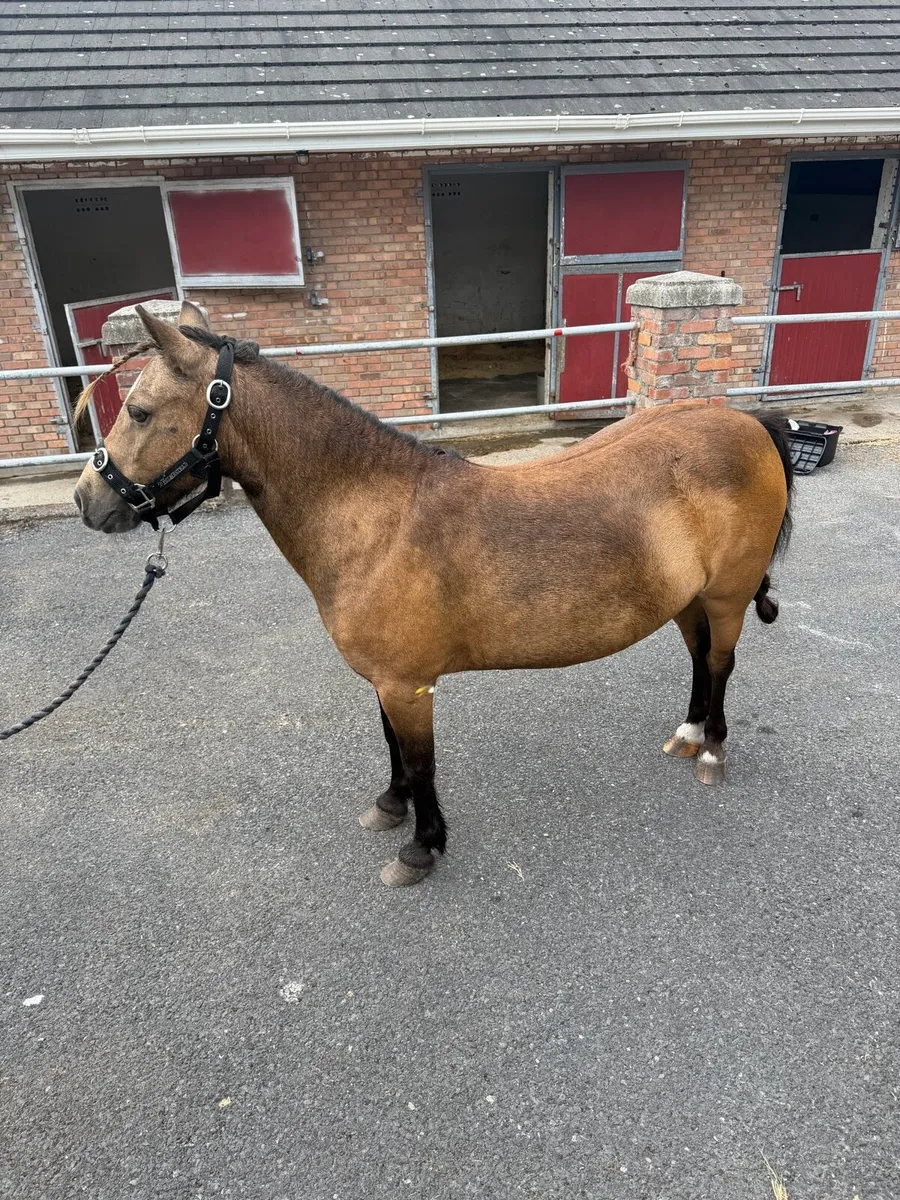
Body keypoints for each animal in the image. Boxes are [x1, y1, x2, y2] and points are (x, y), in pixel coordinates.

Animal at [74, 302, 793, 888]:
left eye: (139, 412)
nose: (87, 501)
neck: (378, 517)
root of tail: (750, 424)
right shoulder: (386, 680)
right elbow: (393, 748)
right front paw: (390, 808)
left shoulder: (408, 683)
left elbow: (421, 764)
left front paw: (421, 848)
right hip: (687, 600)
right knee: (699, 659)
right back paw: (688, 733)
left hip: (726, 597)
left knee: (720, 663)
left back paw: (713, 750)